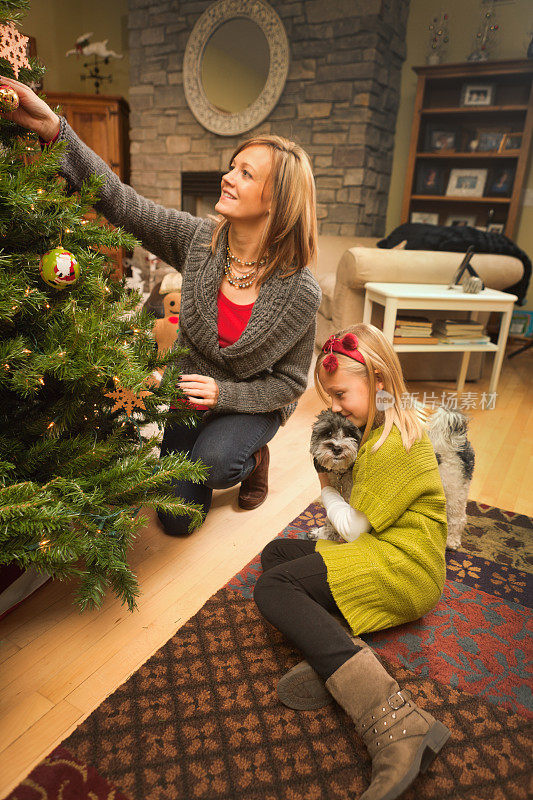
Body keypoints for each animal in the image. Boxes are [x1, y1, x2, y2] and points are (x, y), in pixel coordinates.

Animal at [308, 406, 474, 552]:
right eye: (328, 432)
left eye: (350, 433)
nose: (337, 448)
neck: (342, 474)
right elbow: (331, 517)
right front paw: (324, 534)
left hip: (454, 488)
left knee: (458, 518)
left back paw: (452, 540)